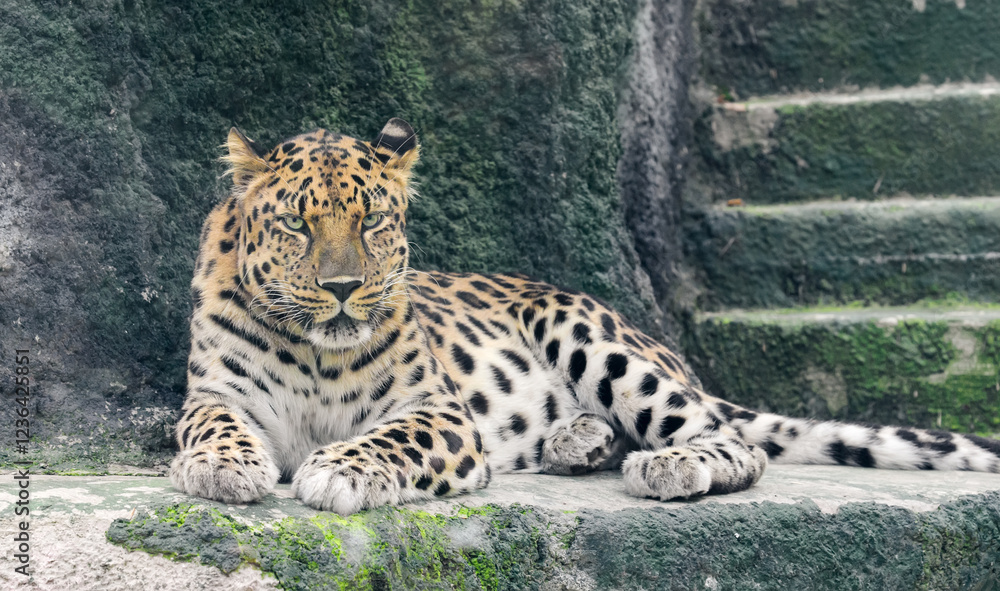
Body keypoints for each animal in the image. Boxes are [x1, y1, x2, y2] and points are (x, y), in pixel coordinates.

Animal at [170, 118, 1000, 515]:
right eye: (297, 224)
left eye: (372, 220)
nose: (343, 288)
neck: (319, 349)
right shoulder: (216, 395)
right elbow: (211, 424)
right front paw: (220, 466)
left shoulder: (438, 410)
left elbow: (391, 437)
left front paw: (339, 469)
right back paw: (579, 439)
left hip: (585, 329)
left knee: (731, 438)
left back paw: (666, 463)